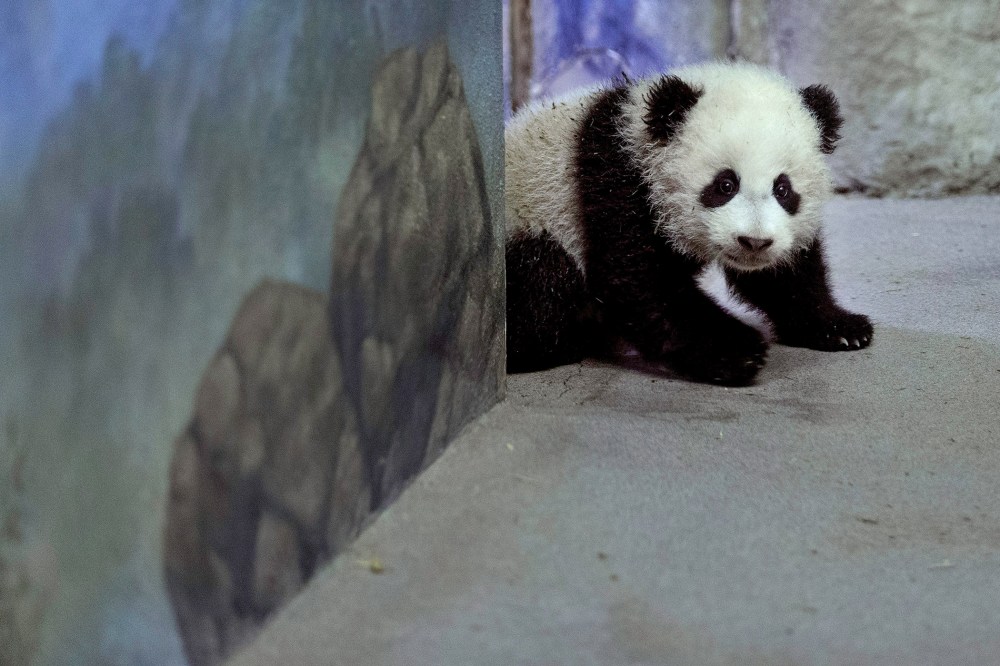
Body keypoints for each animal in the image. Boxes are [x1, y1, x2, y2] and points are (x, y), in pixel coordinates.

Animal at [505, 61, 872, 385]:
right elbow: (639, 282)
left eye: (783, 189)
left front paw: (842, 328)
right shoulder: (616, 184)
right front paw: (737, 351)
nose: (754, 243)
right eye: (725, 185)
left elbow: (781, 278)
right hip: (530, 224)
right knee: (545, 279)